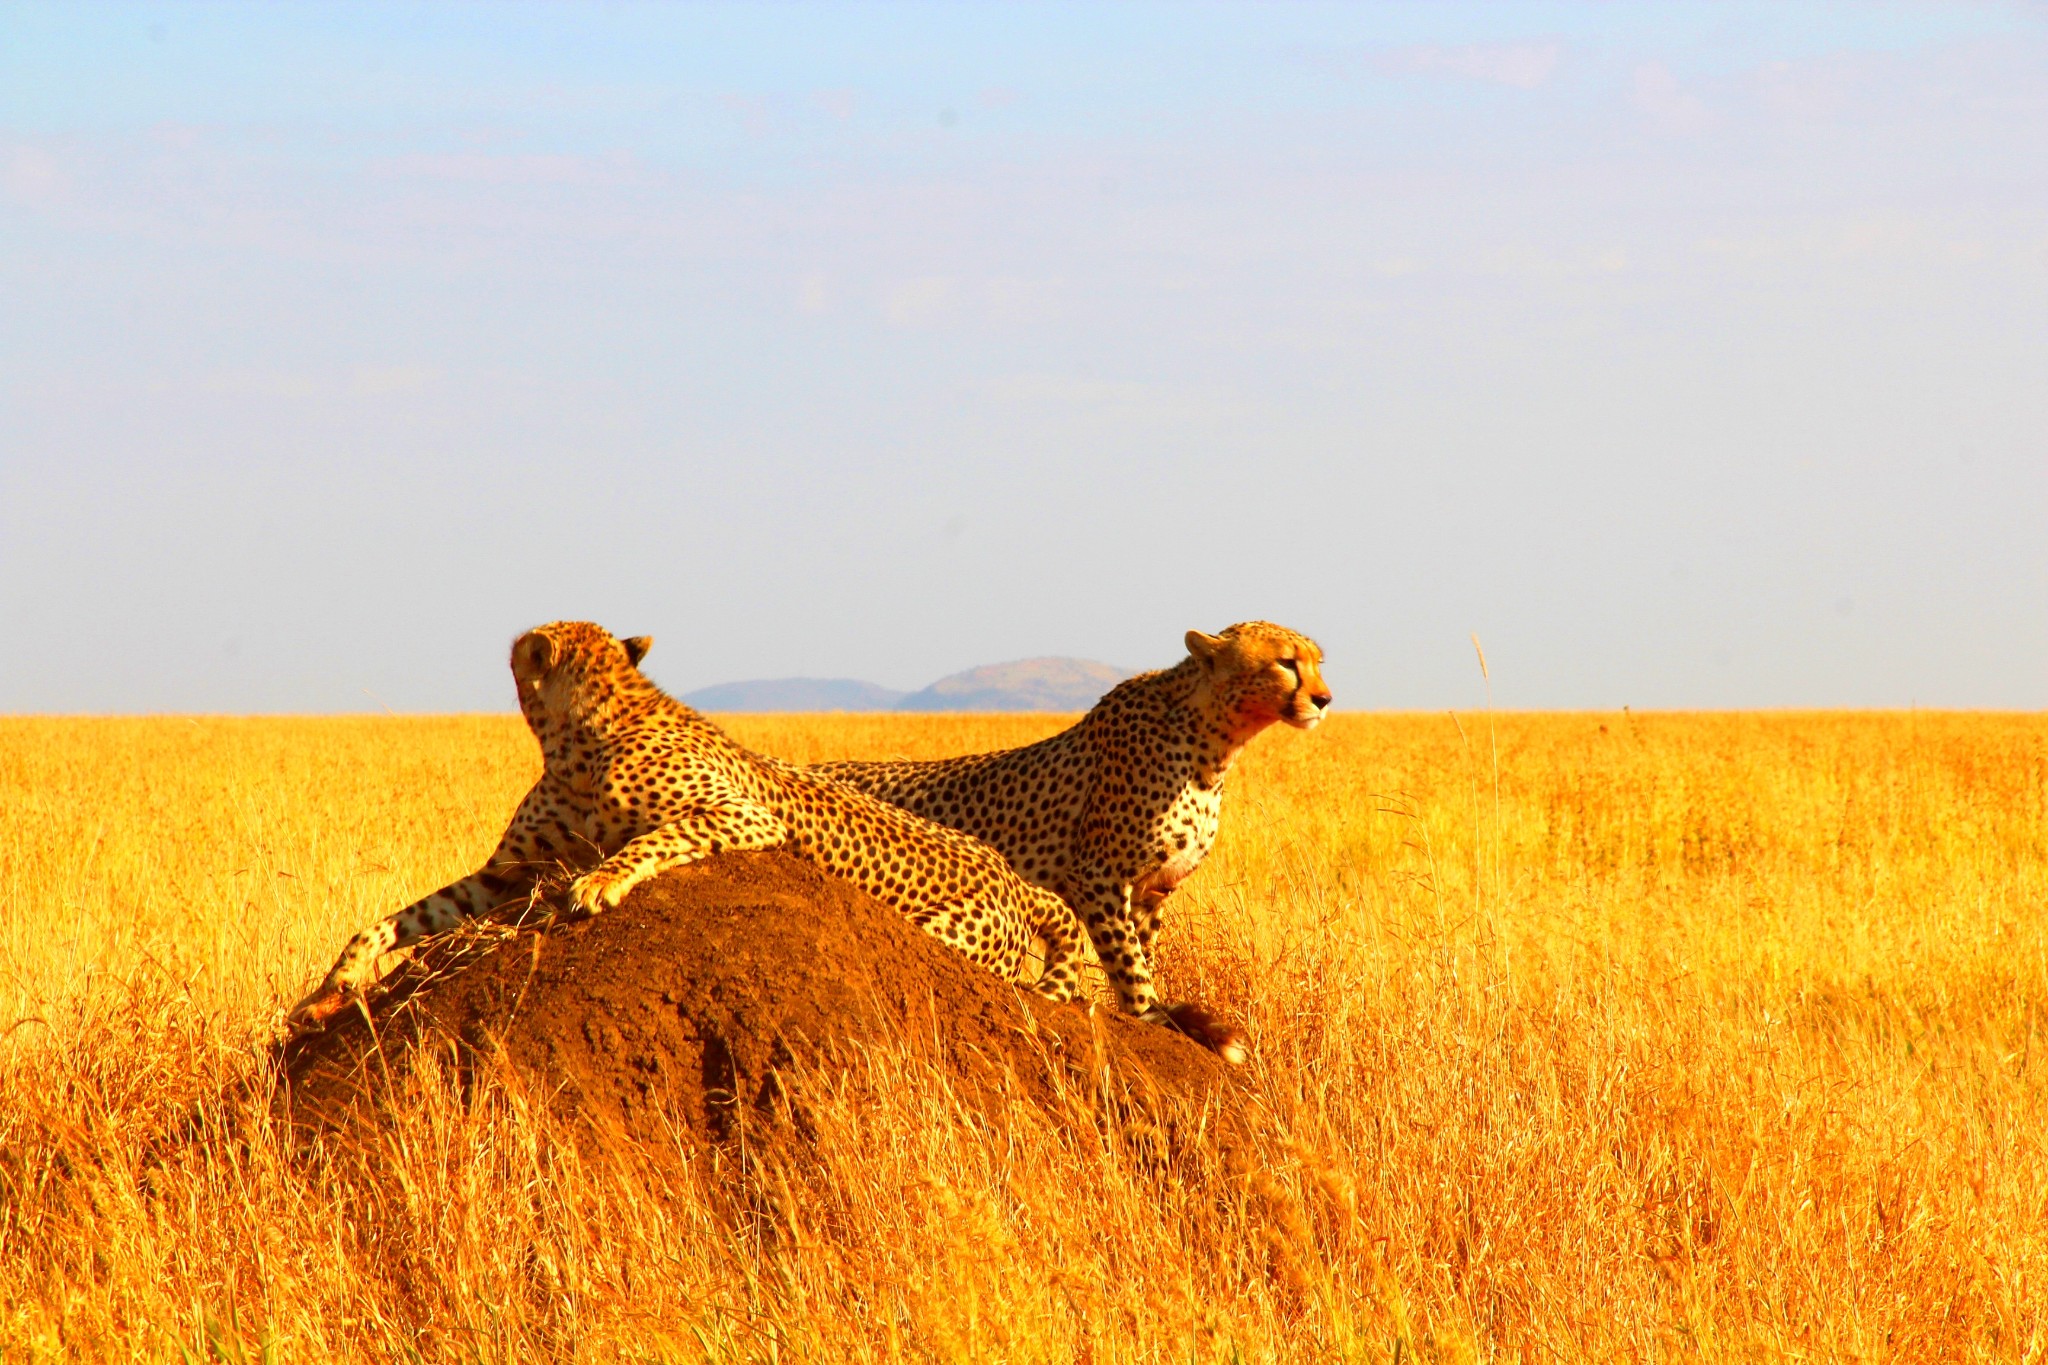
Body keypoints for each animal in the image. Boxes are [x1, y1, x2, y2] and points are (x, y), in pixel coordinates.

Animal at [290, 626, 1097, 1031]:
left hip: (949, 940)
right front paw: (334, 986)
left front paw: (600, 884)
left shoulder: (741, 816)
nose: (507, 648)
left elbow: (651, 839)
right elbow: (401, 918)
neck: (578, 735)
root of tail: (1014, 877)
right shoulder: (506, 873)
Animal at [806, 622, 1335, 1064]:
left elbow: (1141, 952)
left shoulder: (1154, 888)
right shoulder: (1097, 875)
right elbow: (1129, 963)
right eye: (1286, 662)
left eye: (1316, 662)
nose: (1325, 699)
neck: (1213, 742)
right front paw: (1151, 1014)